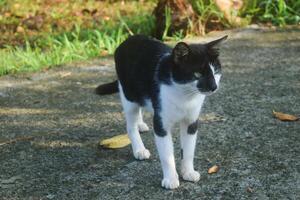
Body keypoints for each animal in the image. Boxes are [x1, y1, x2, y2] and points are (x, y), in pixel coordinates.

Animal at [96, 34, 227, 189]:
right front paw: (170, 179)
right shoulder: (160, 121)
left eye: (215, 71)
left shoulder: (191, 121)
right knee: (130, 123)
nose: (214, 86)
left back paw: (141, 124)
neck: (185, 95)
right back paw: (139, 149)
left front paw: (188, 172)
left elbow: (189, 149)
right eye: (197, 74)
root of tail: (128, 39)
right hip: (128, 94)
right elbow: (166, 154)